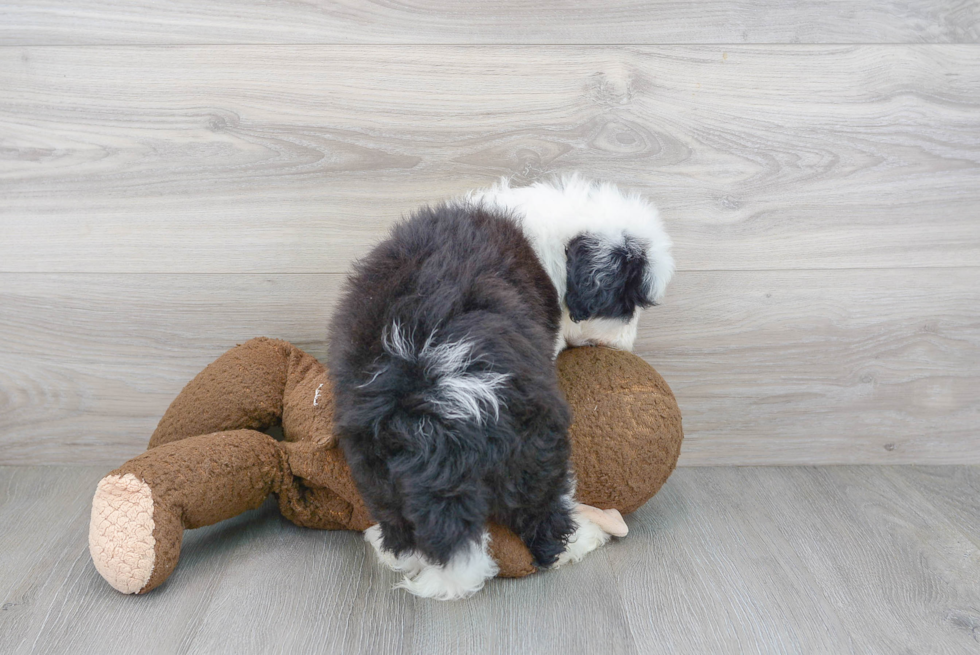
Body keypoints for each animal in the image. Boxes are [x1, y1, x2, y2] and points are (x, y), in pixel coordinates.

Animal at [330, 174, 672, 600]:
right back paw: (580, 540)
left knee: (399, 522)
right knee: (545, 518)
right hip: (537, 446)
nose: (628, 345)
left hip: (373, 462)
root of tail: (439, 407)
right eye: (627, 302)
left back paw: (391, 548)